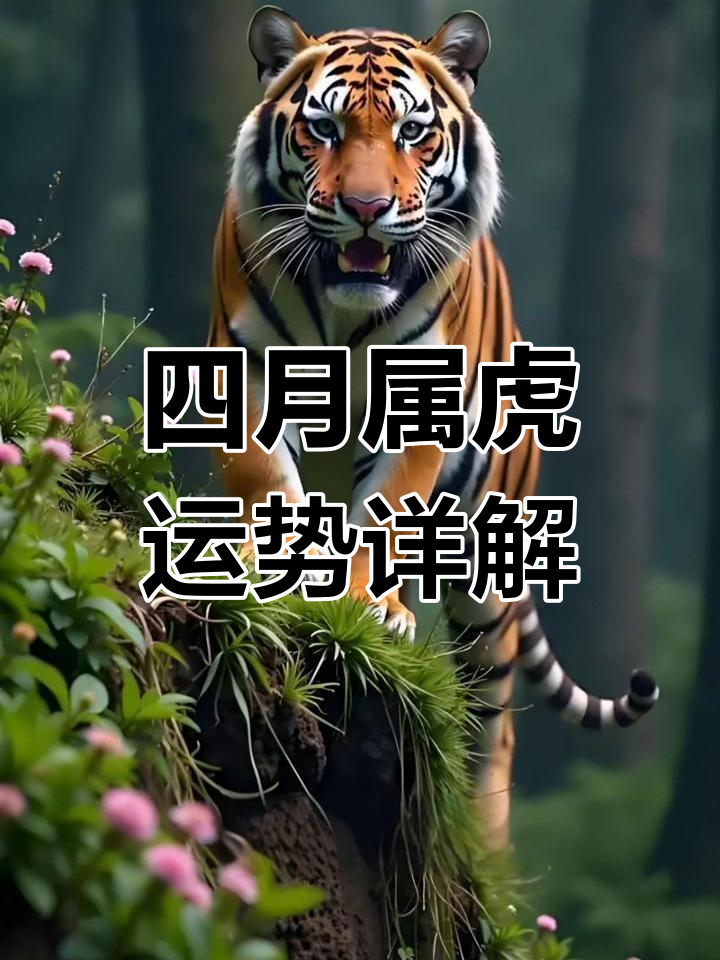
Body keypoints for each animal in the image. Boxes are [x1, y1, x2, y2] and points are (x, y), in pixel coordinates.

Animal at [207, 5, 659, 847]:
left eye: (412, 132)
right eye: (324, 129)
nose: (365, 209)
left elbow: (385, 515)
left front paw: (370, 607)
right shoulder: (246, 372)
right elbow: (262, 479)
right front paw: (265, 570)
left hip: (489, 568)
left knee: (493, 725)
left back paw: (486, 848)